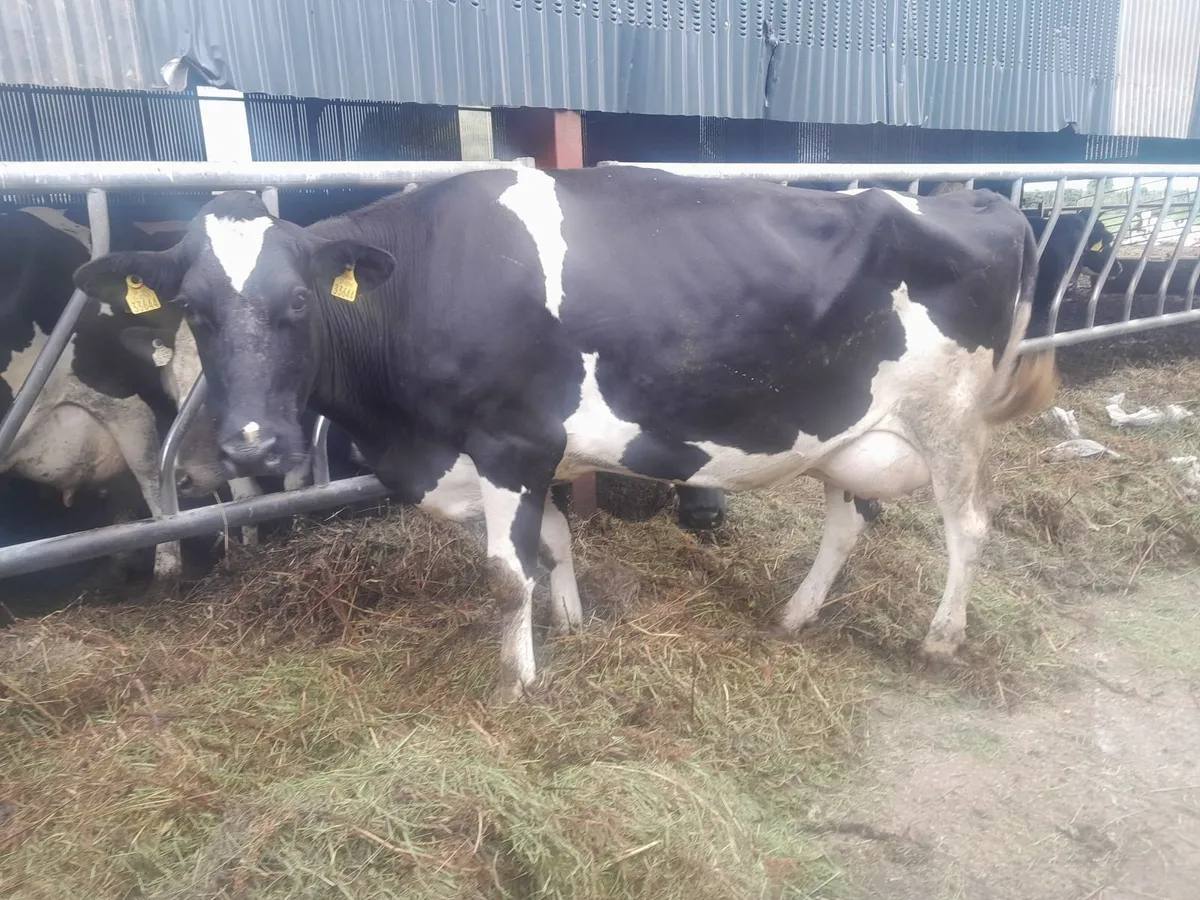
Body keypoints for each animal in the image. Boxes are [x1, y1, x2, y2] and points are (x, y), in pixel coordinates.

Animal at [75, 167, 1058, 702]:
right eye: (194, 310)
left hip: (949, 417)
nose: (251, 450)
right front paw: (575, 626)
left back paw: (941, 638)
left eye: (298, 304)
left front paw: (520, 679)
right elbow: (551, 542)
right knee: (849, 522)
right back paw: (795, 615)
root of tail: (982, 203)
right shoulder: (520, 452)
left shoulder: (509, 441)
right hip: (847, 432)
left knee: (969, 526)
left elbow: (507, 572)